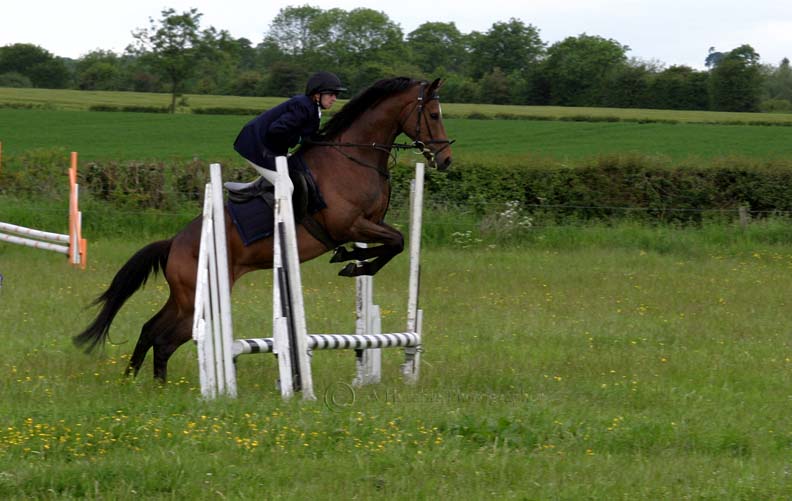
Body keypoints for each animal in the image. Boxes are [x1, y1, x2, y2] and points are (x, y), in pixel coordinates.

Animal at [74, 77, 454, 382]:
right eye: (434, 115)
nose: (446, 160)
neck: (353, 157)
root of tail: (174, 243)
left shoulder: (368, 224)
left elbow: (395, 243)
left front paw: (351, 262)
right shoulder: (349, 224)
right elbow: (396, 242)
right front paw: (351, 264)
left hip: (183, 298)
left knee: (151, 330)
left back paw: (137, 382)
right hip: (198, 298)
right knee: (164, 338)